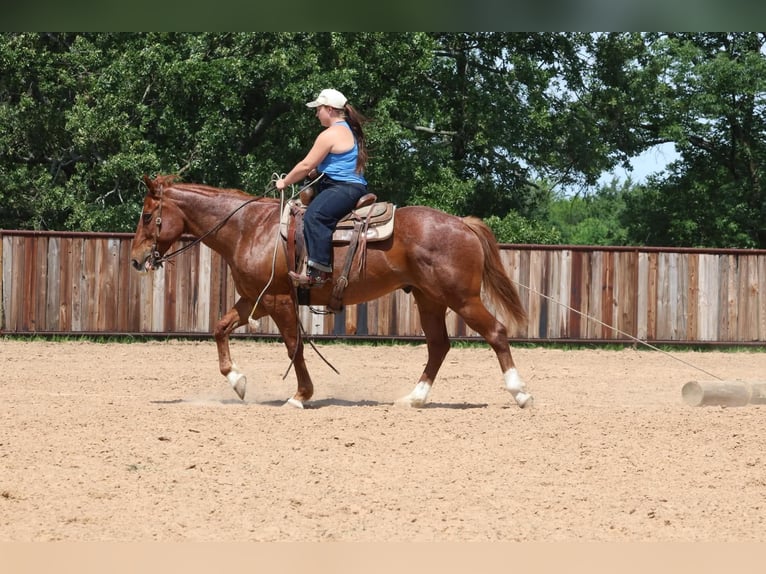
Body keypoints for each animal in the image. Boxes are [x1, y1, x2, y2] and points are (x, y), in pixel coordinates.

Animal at [130, 174, 533, 409]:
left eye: (148, 216)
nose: (136, 259)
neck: (249, 228)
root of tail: (462, 224)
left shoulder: (278, 300)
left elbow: (294, 346)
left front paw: (300, 395)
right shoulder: (254, 299)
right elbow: (220, 327)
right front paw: (238, 381)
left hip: (462, 299)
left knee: (496, 332)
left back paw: (520, 392)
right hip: (429, 299)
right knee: (439, 346)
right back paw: (415, 398)